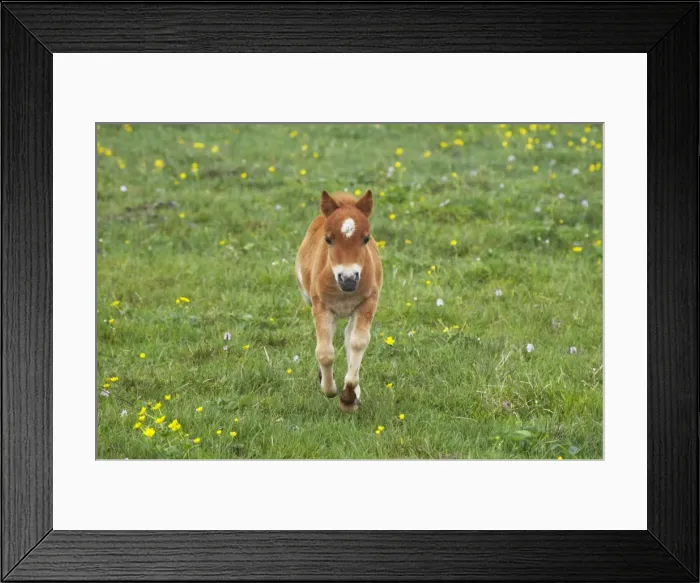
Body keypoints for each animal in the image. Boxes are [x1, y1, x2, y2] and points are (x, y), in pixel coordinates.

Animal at [295, 190, 383, 412]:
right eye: (328, 239)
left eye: (366, 238)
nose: (349, 278)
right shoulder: (321, 306)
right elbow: (324, 352)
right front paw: (329, 389)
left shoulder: (368, 302)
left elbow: (358, 342)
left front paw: (349, 397)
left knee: (349, 335)